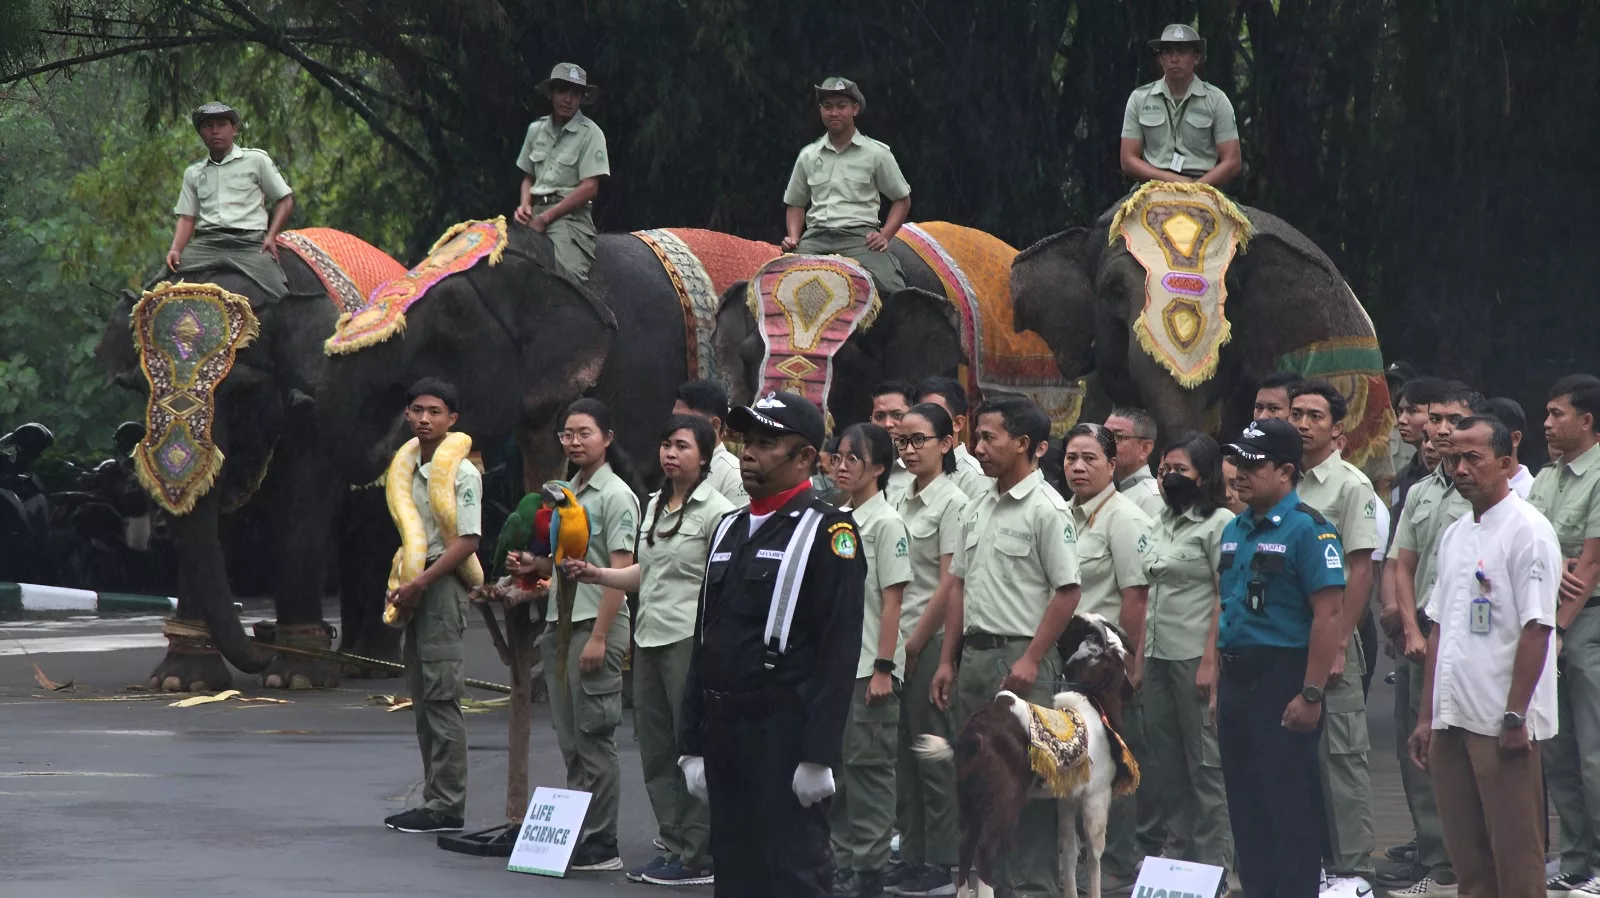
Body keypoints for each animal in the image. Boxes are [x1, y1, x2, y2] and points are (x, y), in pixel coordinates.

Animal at [96, 244, 400, 694]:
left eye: (241, 393)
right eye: (141, 390)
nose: (262, 631)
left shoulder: (318, 400)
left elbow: (301, 507)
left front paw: (297, 677)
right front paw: (183, 682)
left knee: (378, 531)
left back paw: (375, 666)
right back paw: (350, 662)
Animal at [921, 611, 1132, 896]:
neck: (1090, 703)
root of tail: (972, 733)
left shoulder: (1067, 799)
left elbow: (1069, 852)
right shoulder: (1096, 797)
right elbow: (1094, 856)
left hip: (971, 801)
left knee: (965, 848)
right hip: (1004, 800)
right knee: (985, 852)